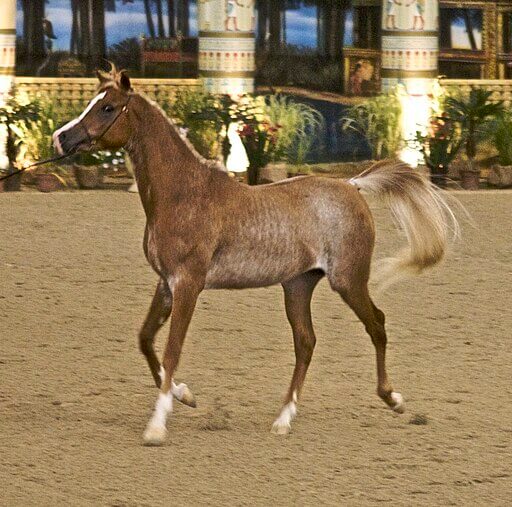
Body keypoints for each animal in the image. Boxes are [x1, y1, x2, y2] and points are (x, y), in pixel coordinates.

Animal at [53, 66, 460, 444]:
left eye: (107, 107)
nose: (61, 138)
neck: (183, 193)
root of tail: (351, 185)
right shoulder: (166, 284)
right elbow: (145, 340)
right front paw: (186, 396)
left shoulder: (188, 285)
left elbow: (171, 350)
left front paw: (156, 427)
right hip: (297, 286)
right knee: (306, 342)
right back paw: (283, 419)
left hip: (348, 281)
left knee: (376, 324)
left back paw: (393, 399)